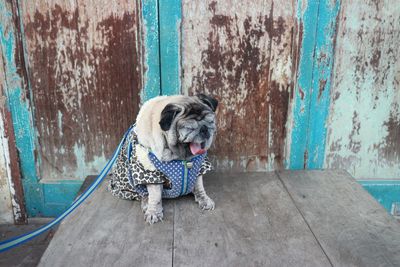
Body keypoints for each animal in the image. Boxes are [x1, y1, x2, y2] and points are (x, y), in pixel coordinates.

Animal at [108, 94, 217, 224]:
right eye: (189, 128)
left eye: (211, 122)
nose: (204, 129)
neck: (181, 157)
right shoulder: (152, 173)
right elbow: (155, 196)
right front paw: (154, 212)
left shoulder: (199, 168)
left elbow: (199, 186)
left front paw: (204, 199)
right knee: (144, 194)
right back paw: (146, 204)